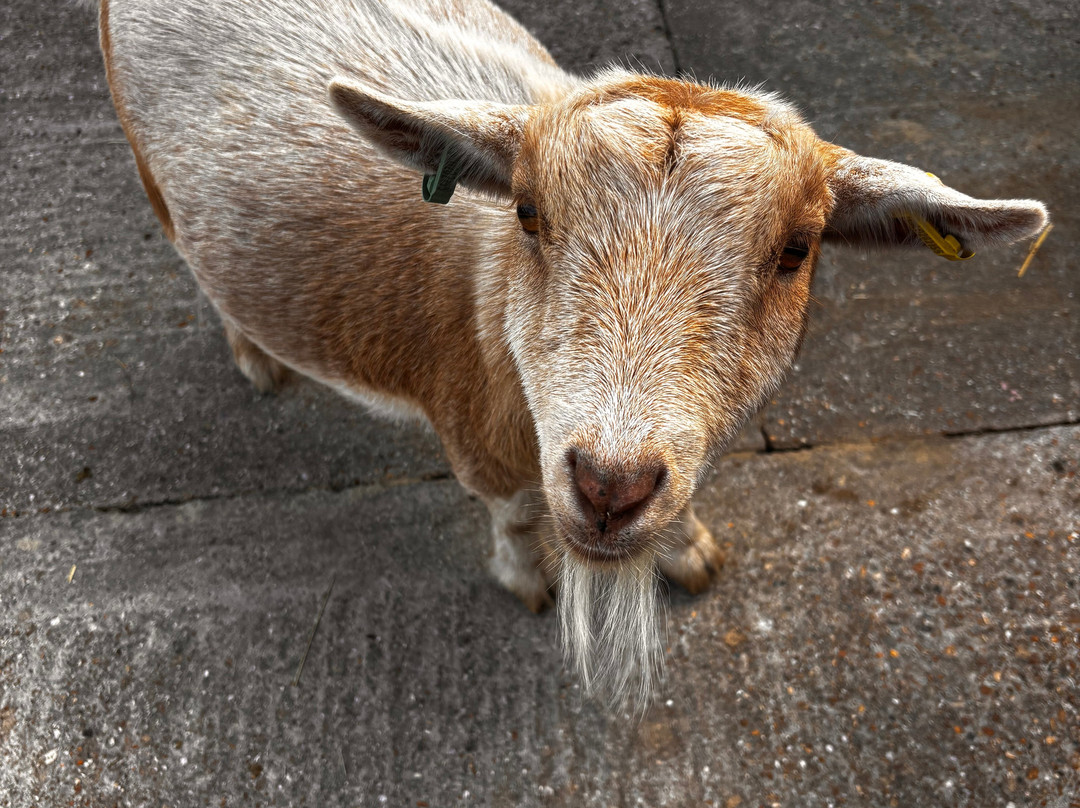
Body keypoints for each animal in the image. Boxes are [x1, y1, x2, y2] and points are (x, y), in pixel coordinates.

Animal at [96, 0, 1048, 703]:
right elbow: (515, 513)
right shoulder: (477, 434)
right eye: (526, 212)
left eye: (796, 249)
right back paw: (254, 356)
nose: (609, 487)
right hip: (146, 166)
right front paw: (527, 579)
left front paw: (691, 551)